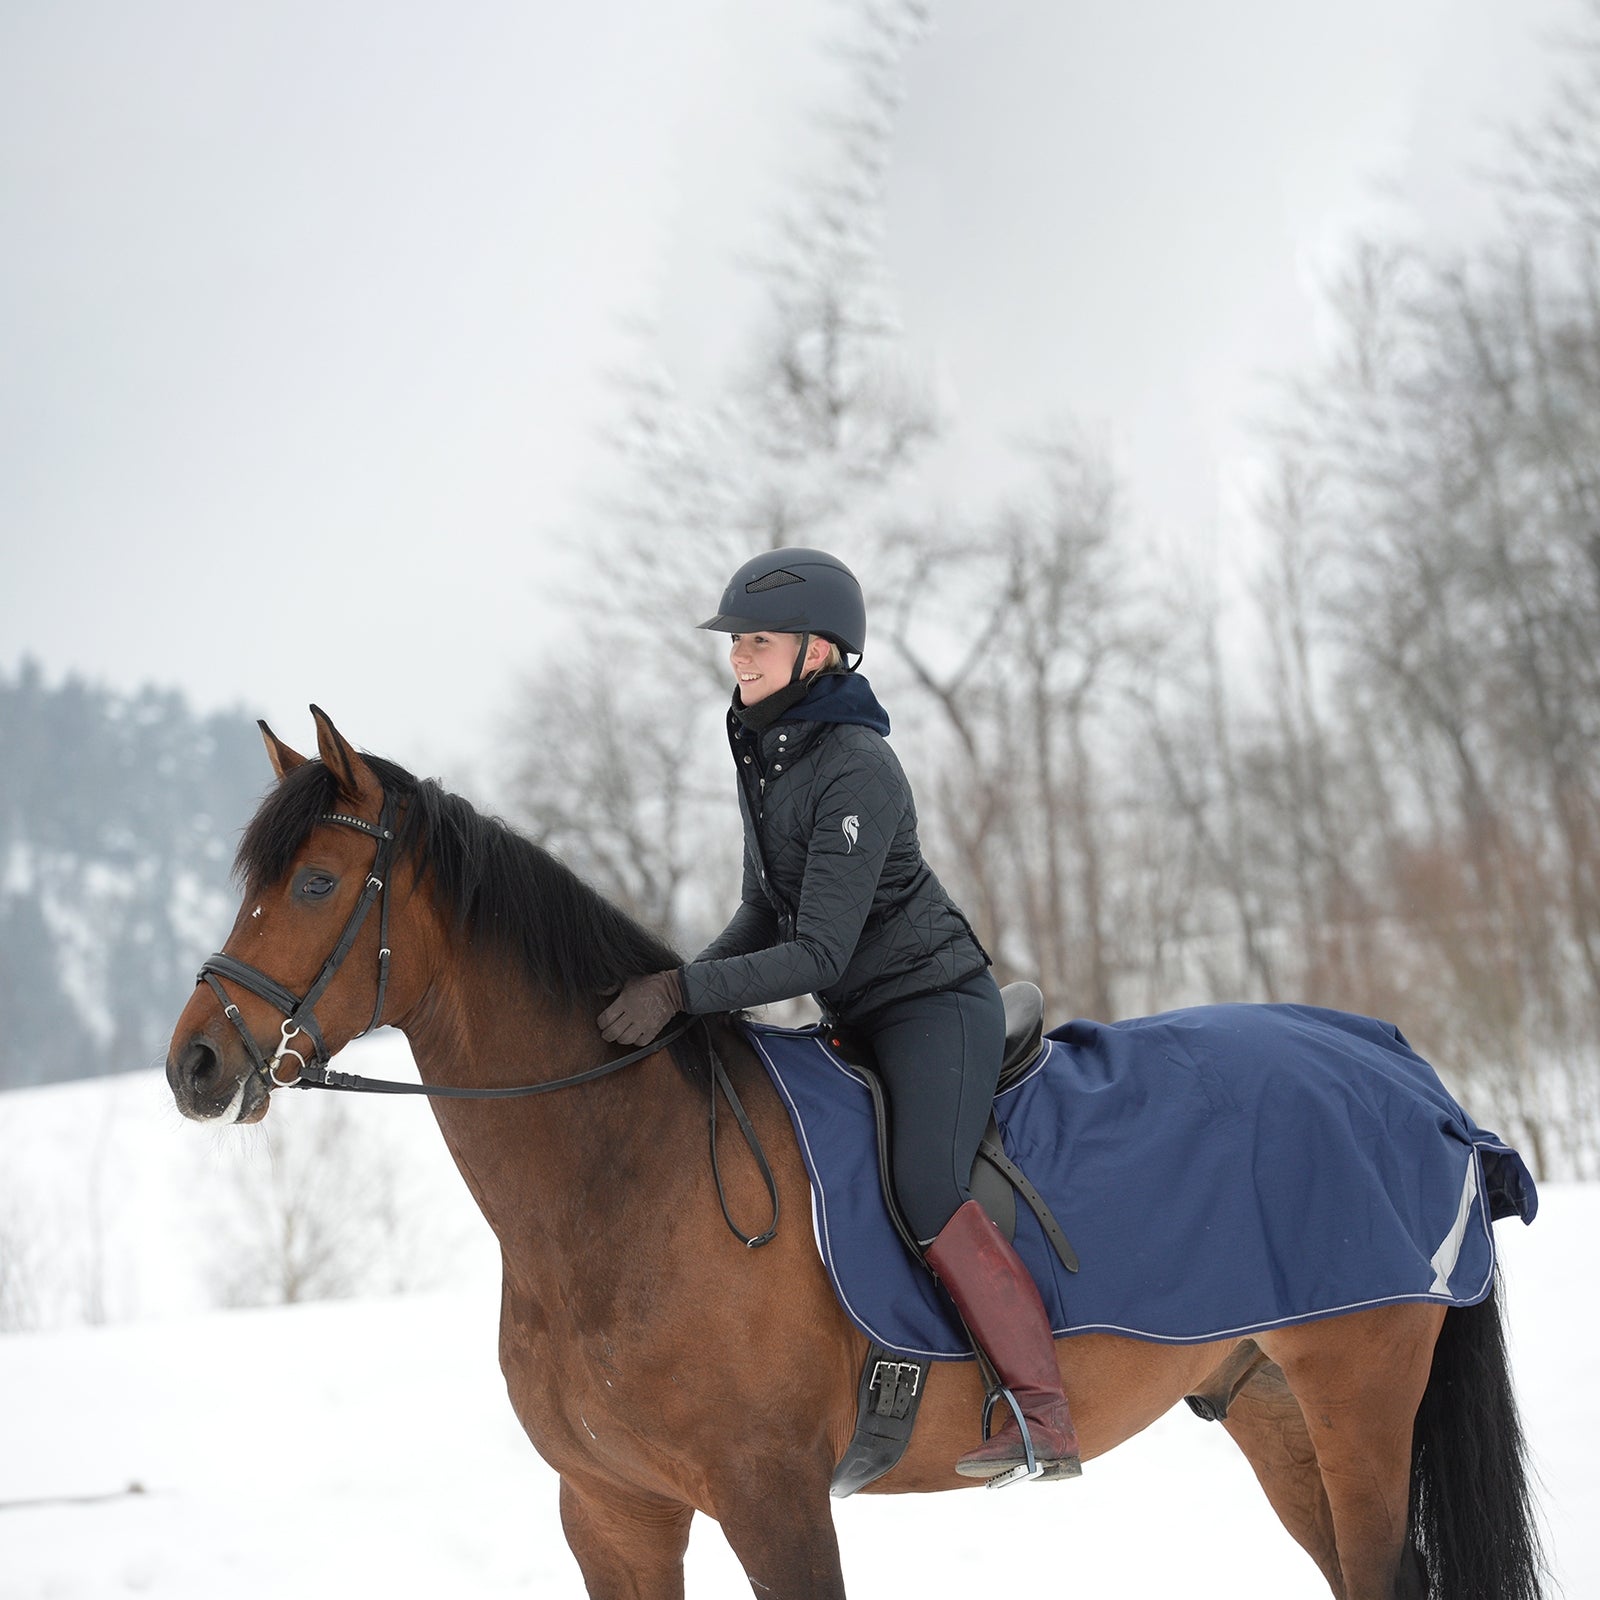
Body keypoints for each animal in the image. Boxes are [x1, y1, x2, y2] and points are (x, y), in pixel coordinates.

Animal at [164, 709, 1546, 1600]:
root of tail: (1398, 1066)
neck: (623, 1187)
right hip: (1270, 1406)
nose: (196, 1062)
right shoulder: (612, 1513)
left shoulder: (771, 1502)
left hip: (1356, 1392)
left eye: (317, 882)